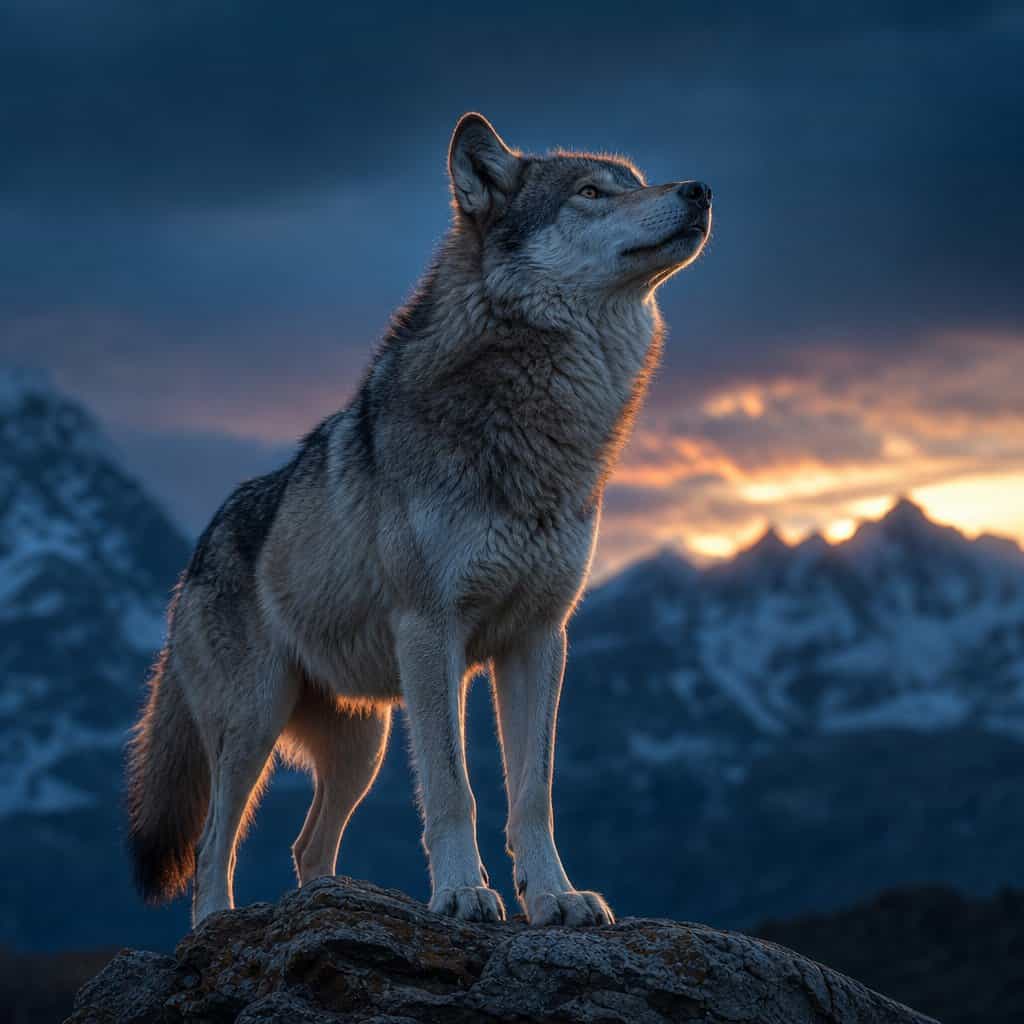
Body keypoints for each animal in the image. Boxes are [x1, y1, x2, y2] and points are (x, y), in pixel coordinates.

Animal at [127, 112, 711, 928]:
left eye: (638, 180)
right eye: (593, 193)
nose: (699, 190)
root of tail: (197, 550)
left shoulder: (540, 637)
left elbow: (533, 793)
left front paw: (555, 898)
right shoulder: (433, 631)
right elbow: (453, 788)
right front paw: (463, 893)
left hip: (362, 746)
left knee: (307, 844)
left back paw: (334, 902)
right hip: (255, 726)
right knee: (216, 845)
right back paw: (218, 926)